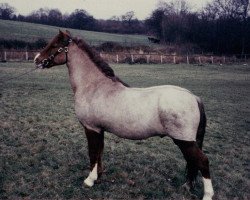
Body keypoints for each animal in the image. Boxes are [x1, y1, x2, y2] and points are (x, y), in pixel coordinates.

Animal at [34, 30, 214, 200]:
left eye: (54, 45)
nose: (36, 60)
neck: (94, 86)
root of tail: (193, 97)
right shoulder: (100, 130)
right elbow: (99, 153)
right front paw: (98, 176)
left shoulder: (91, 128)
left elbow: (92, 153)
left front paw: (89, 180)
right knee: (192, 162)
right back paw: (187, 186)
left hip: (185, 141)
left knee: (202, 161)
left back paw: (207, 195)